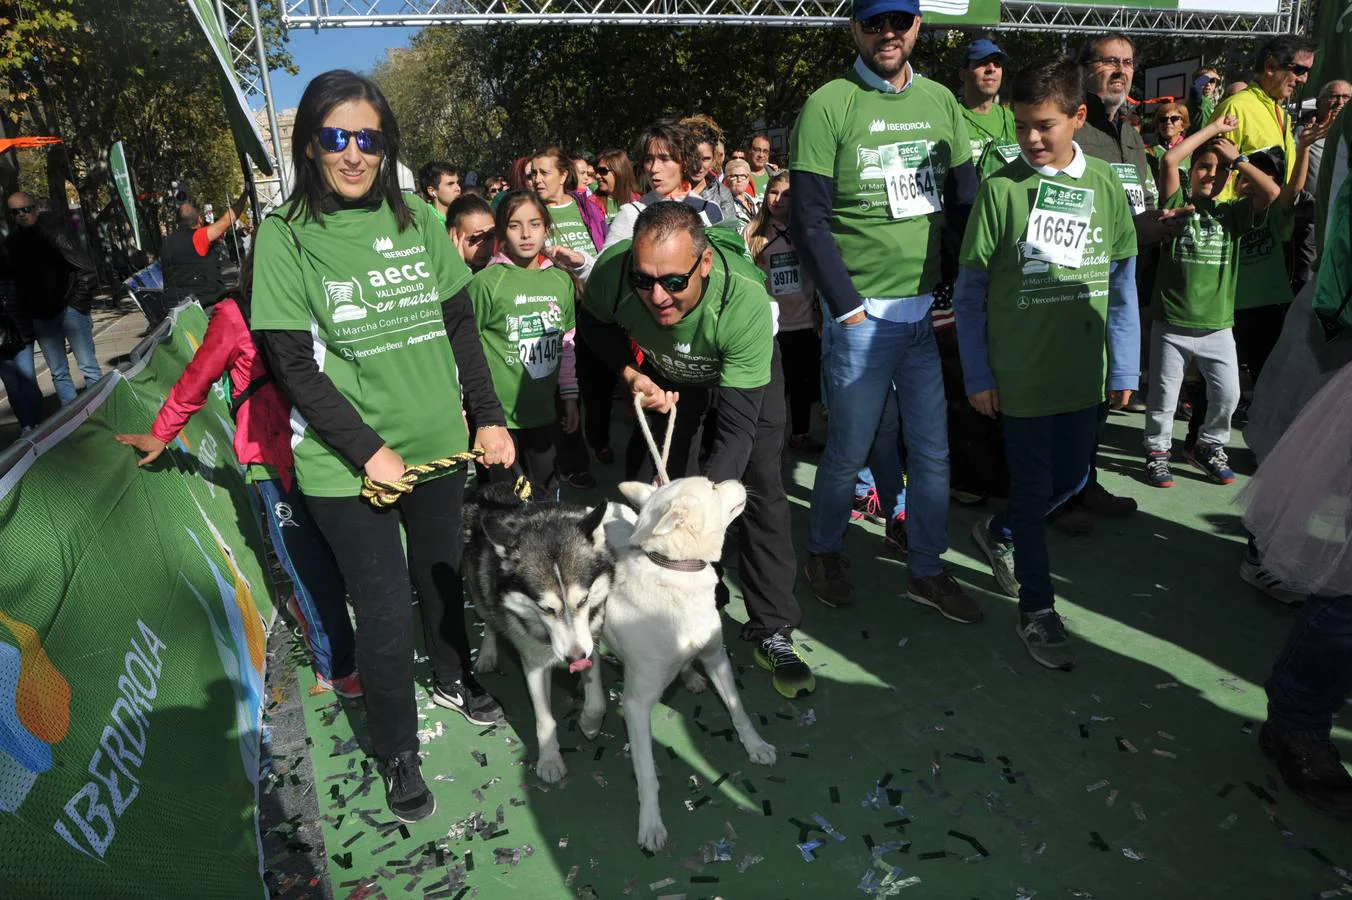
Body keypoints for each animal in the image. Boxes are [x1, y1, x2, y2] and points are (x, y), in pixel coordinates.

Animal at [465, 486, 613, 783]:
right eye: (546, 609)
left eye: (583, 601)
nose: (574, 658)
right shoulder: (533, 664)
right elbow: (545, 719)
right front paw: (550, 760)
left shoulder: (591, 638)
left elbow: (597, 701)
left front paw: (589, 724)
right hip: (480, 592)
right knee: (489, 619)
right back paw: (487, 654)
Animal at [605, 475, 784, 848]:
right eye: (713, 487)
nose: (739, 479)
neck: (676, 571)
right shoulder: (636, 705)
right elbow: (646, 774)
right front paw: (651, 822)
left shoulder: (716, 657)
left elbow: (738, 711)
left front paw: (756, 746)